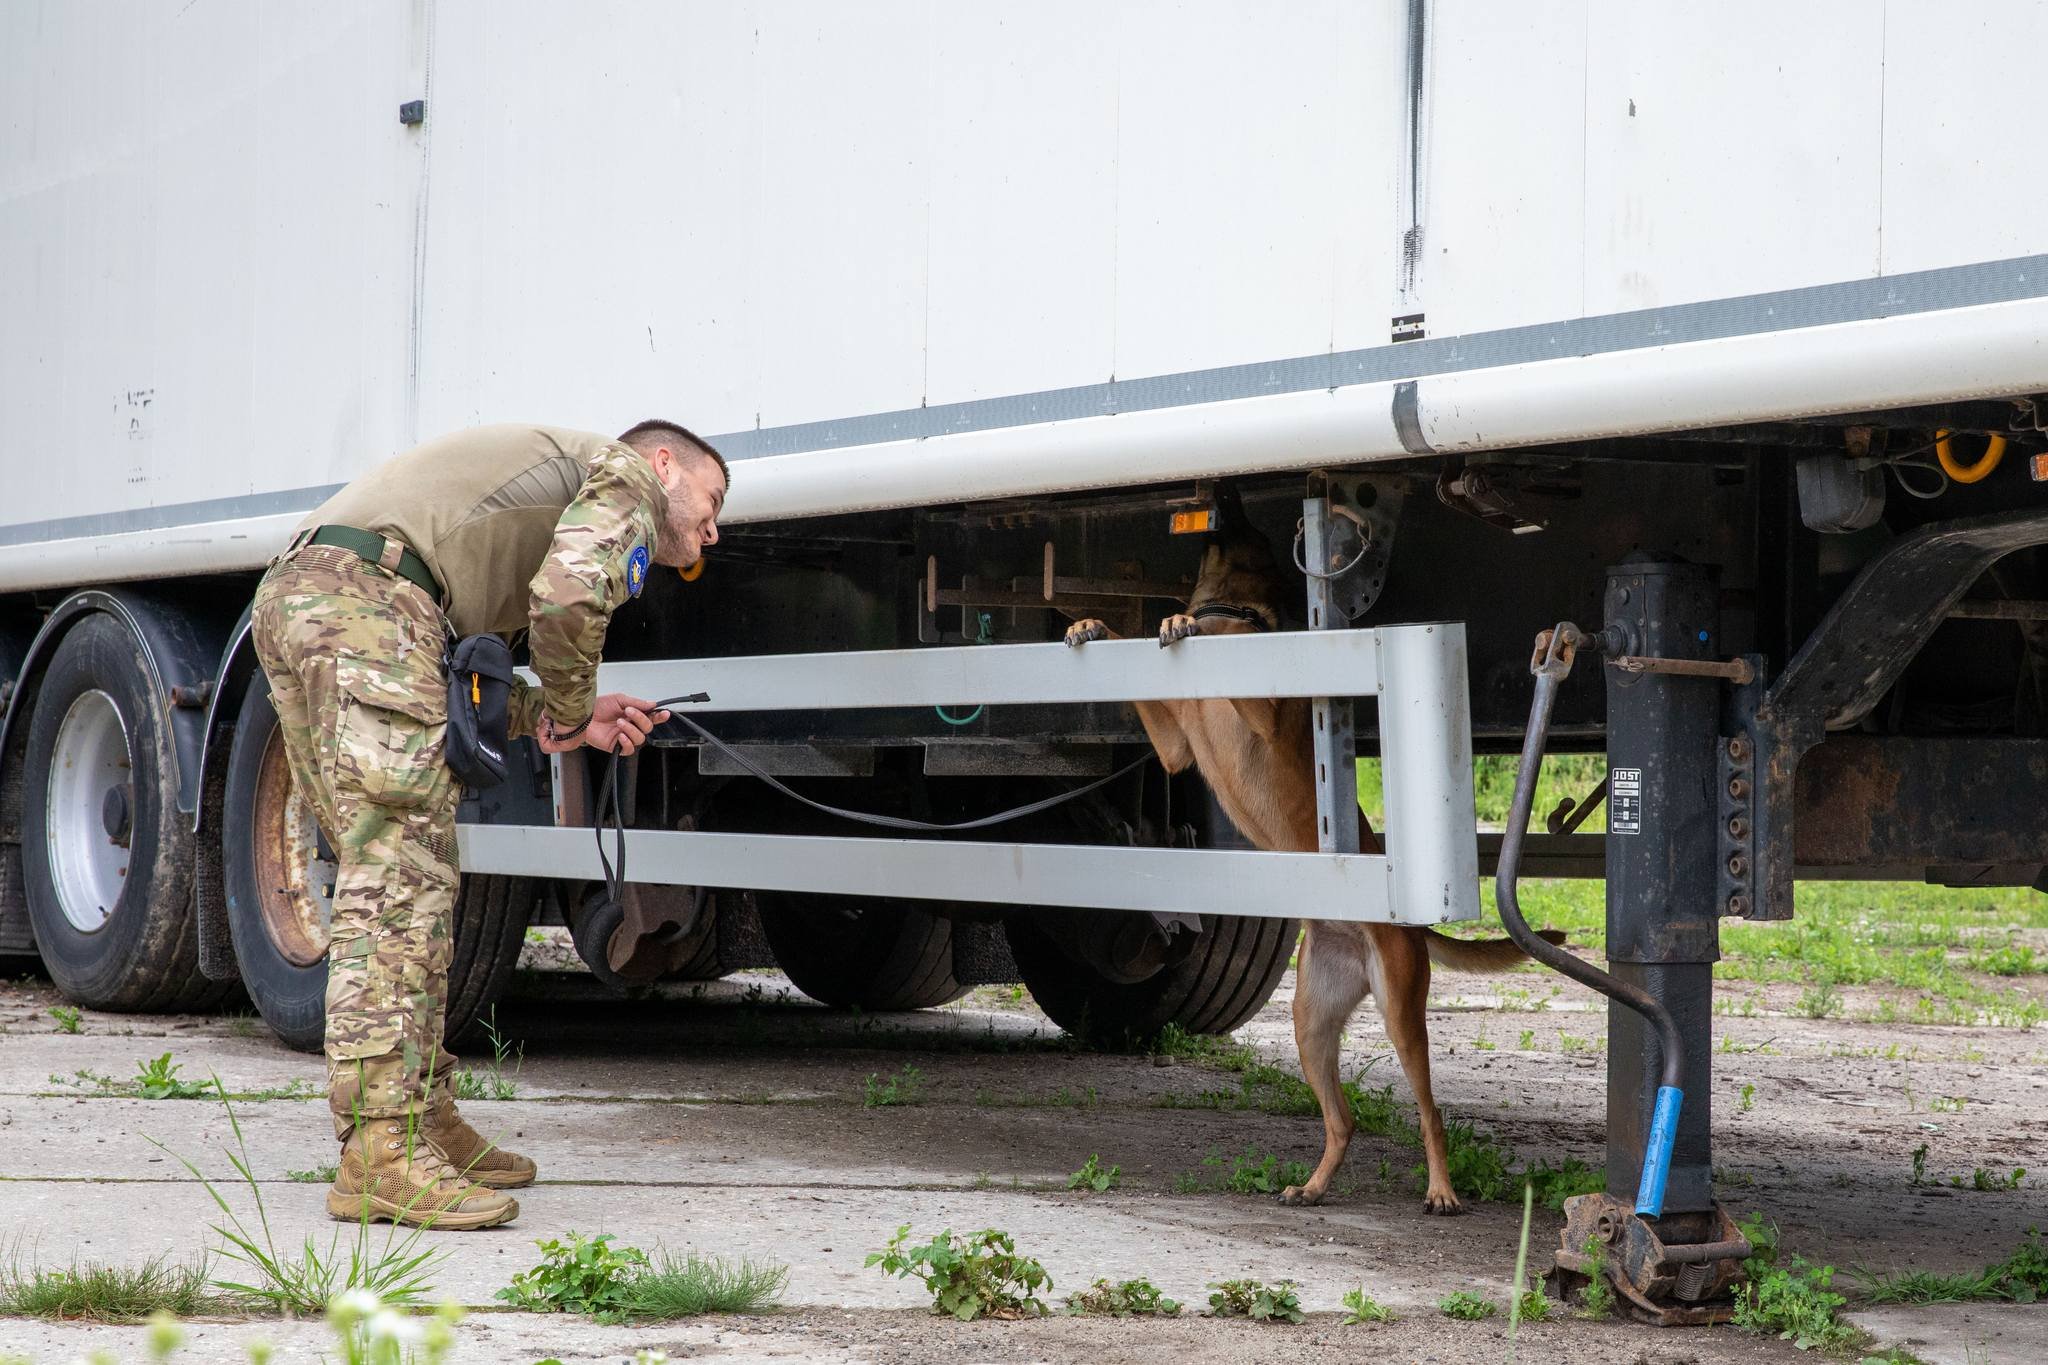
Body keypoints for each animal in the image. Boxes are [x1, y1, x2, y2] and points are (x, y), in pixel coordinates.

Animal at [1064, 517, 1556, 1211]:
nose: (1217, 513)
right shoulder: (1174, 750)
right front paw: (1093, 624)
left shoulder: (1264, 717)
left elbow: (1219, 646)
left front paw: (1182, 621)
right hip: (1310, 1023)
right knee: (1342, 1119)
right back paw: (1315, 1186)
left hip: (1400, 1015)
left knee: (1430, 1114)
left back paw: (1440, 1190)